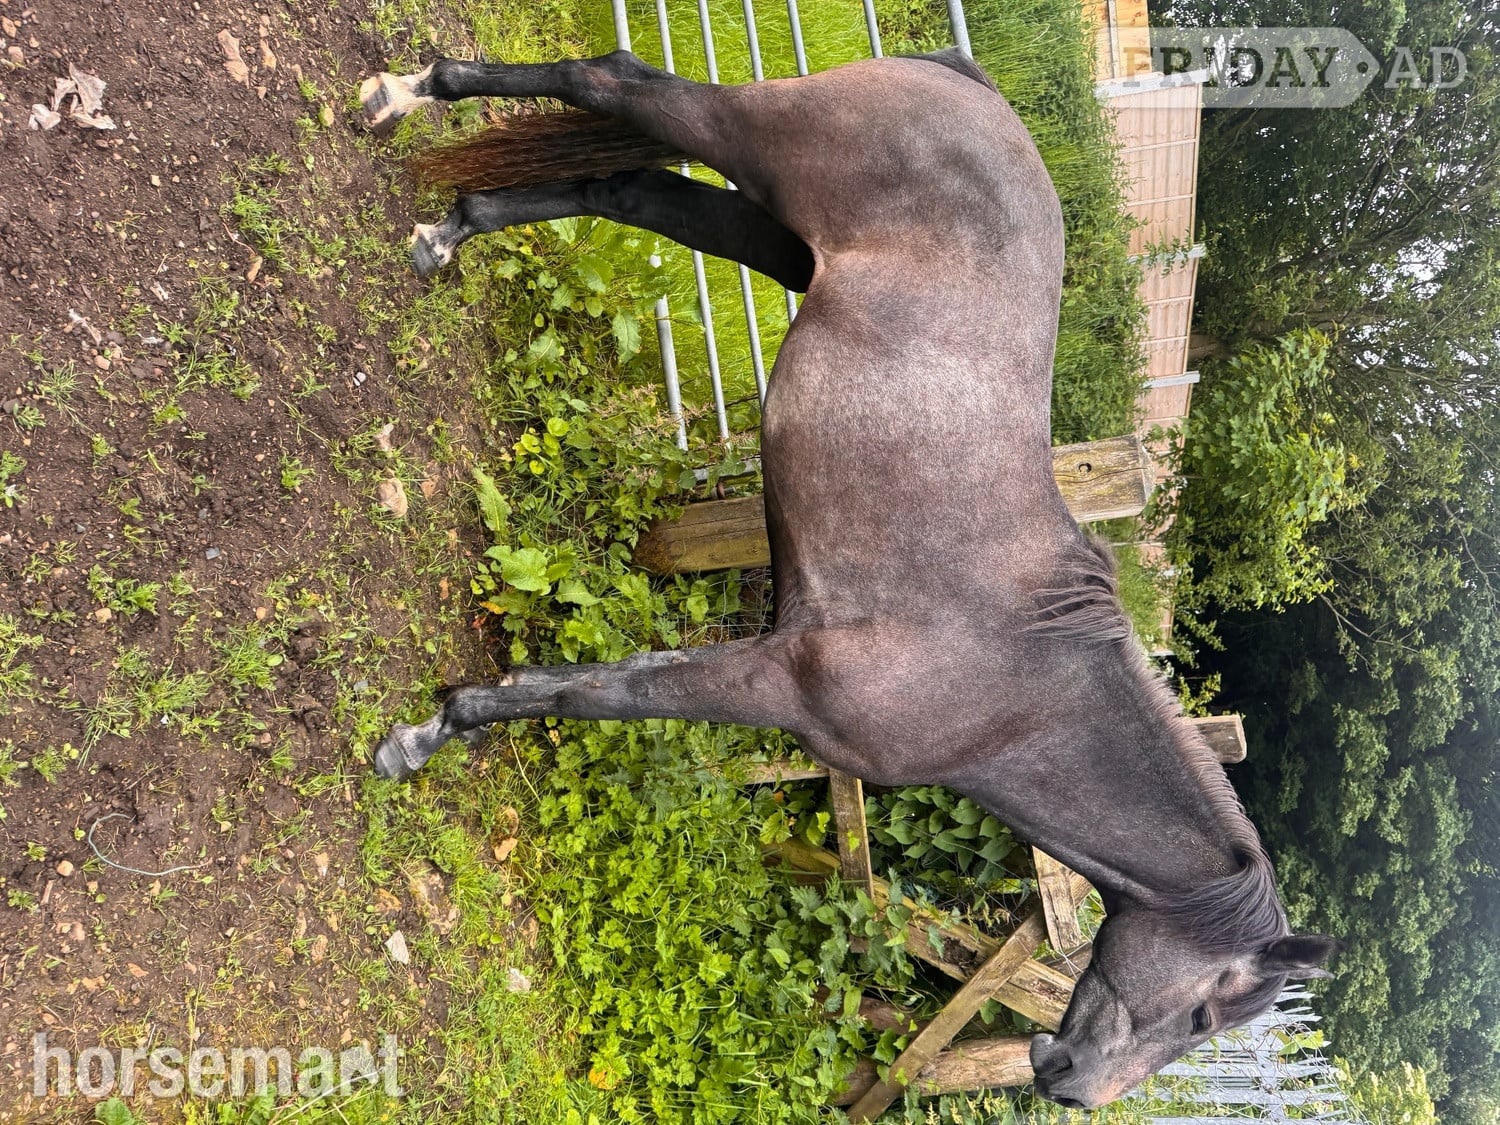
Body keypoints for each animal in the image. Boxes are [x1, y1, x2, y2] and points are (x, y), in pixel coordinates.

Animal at [356, 48, 1340, 1108]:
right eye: (1204, 1016)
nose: (1070, 1083)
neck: (1021, 687)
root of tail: (962, 78)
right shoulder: (779, 679)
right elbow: (598, 695)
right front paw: (423, 735)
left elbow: (597, 682)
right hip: (752, 147)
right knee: (607, 80)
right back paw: (405, 97)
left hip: (778, 238)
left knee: (628, 188)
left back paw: (446, 231)